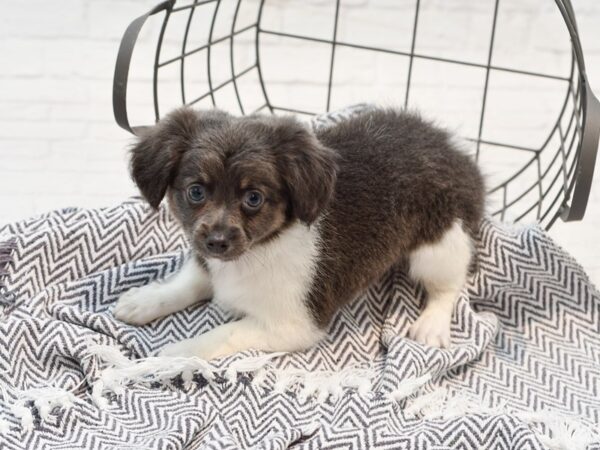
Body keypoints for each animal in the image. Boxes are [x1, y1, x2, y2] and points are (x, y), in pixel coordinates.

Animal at [115, 105, 486, 358]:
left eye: (253, 198)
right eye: (196, 192)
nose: (216, 242)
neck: (257, 251)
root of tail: (455, 152)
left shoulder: (294, 325)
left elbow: (223, 334)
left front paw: (176, 354)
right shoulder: (207, 260)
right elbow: (190, 280)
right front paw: (145, 300)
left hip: (441, 244)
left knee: (449, 284)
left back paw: (432, 324)